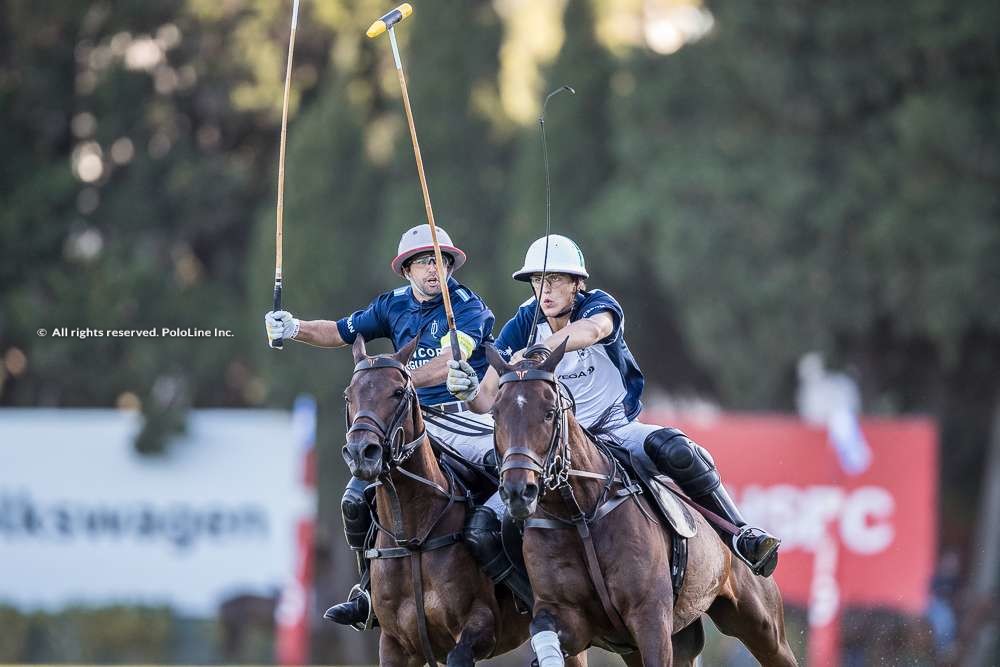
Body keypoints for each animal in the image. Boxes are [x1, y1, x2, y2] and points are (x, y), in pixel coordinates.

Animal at [344, 340, 532, 667]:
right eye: (348, 395)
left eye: (397, 392)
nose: (360, 452)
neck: (411, 538)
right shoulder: (395, 645)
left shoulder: (481, 626)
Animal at [484, 344, 796, 667]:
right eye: (495, 413)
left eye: (549, 413)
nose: (518, 491)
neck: (580, 514)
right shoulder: (564, 616)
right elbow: (545, 630)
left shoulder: (650, 617)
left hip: (761, 624)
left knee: (675, 448)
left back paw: (753, 542)